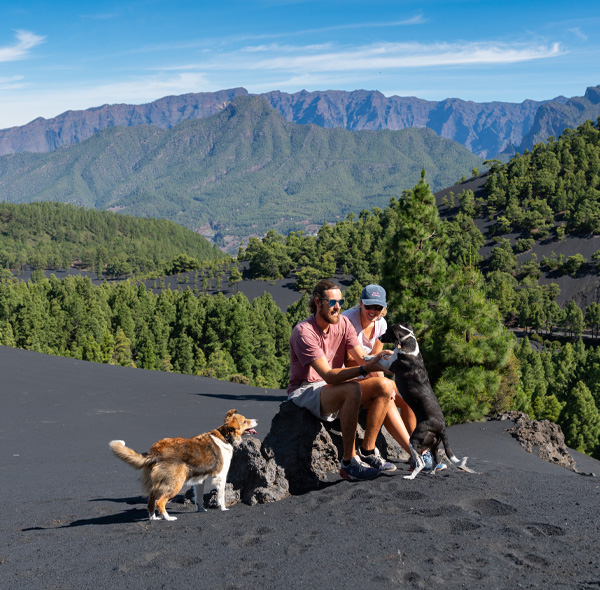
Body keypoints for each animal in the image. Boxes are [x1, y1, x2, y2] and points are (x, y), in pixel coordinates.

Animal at [109, 412, 258, 524]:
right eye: (245, 421)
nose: (257, 419)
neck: (225, 436)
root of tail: (156, 451)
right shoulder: (221, 476)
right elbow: (221, 496)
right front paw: (223, 509)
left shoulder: (199, 480)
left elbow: (198, 498)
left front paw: (201, 510)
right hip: (175, 483)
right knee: (160, 502)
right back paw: (168, 518)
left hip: (158, 484)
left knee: (151, 501)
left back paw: (154, 518)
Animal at [366, 324, 474, 480]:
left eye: (387, 332)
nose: (379, 337)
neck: (407, 342)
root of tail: (442, 427)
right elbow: (384, 354)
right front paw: (369, 355)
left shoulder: (390, 365)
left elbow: (380, 358)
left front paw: (367, 356)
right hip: (434, 444)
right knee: (436, 460)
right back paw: (431, 472)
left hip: (415, 440)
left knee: (421, 462)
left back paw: (411, 476)